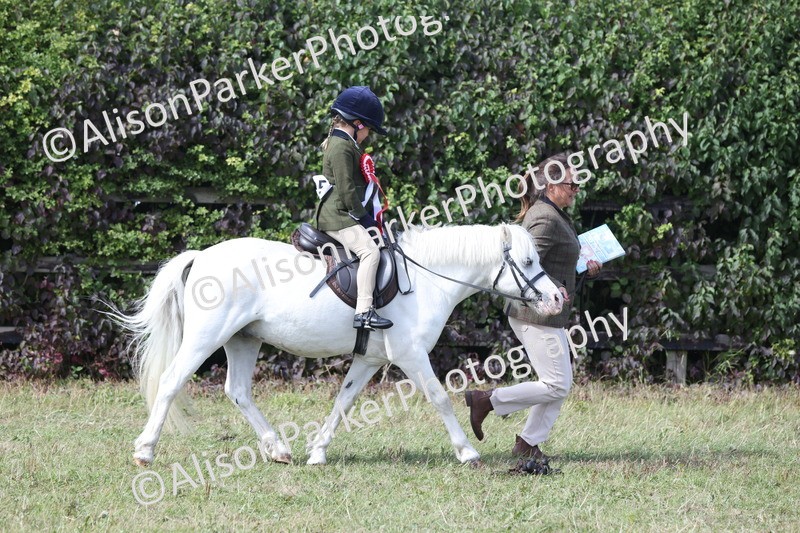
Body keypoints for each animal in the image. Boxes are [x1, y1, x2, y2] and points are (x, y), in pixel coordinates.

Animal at [116, 223, 562, 467]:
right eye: (527, 263)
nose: (557, 298)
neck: (426, 279)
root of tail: (202, 256)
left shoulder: (369, 359)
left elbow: (343, 402)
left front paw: (317, 452)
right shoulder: (411, 356)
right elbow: (439, 398)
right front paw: (467, 451)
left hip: (244, 339)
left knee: (238, 391)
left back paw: (278, 449)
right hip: (207, 337)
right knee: (171, 382)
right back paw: (144, 451)